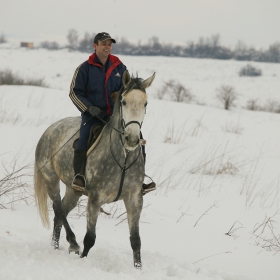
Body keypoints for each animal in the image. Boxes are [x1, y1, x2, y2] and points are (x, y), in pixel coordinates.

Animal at [34, 70, 155, 270]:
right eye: (124, 102)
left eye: (145, 103)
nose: (131, 139)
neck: (123, 159)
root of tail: (49, 130)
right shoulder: (95, 198)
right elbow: (90, 238)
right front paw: (83, 259)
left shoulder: (134, 199)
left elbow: (135, 240)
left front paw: (138, 269)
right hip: (51, 179)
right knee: (58, 209)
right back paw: (73, 243)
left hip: (74, 190)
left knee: (60, 214)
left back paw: (56, 246)